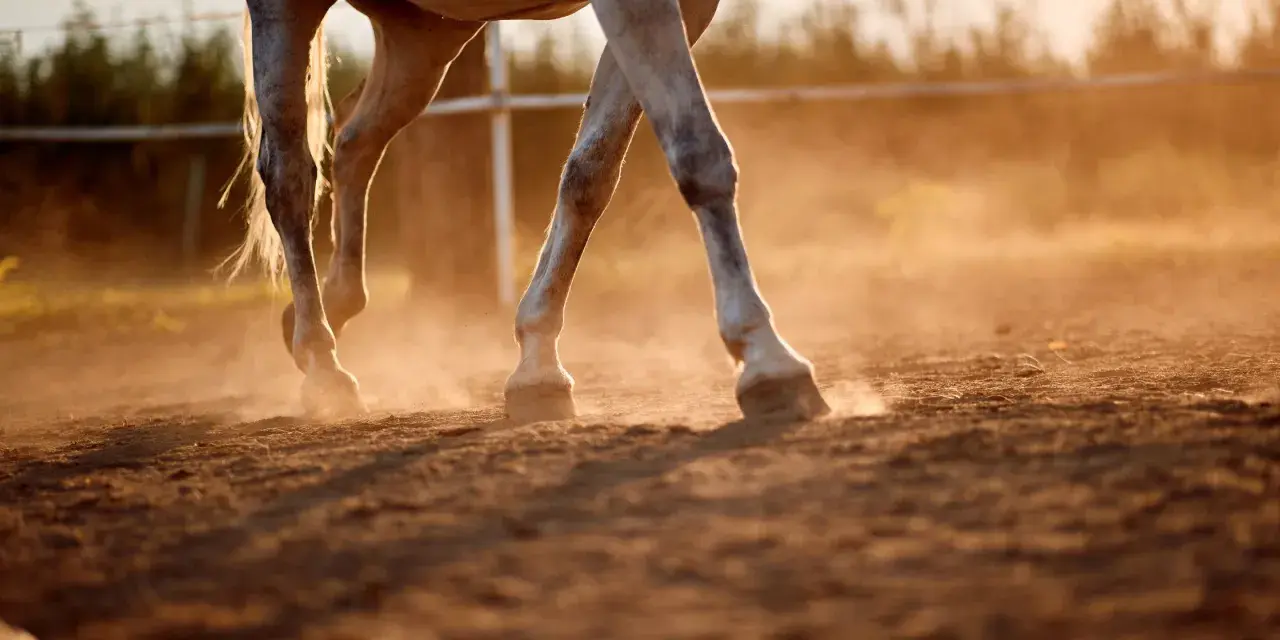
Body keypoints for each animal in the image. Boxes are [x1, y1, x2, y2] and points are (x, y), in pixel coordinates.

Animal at [223, 0, 832, 423]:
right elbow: (698, 151)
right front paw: (767, 358)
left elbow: (590, 174)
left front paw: (538, 366)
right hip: (292, 12)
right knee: (289, 175)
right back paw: (322, 365)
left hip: (424, 37)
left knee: (354, 140)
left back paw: (327, 310)